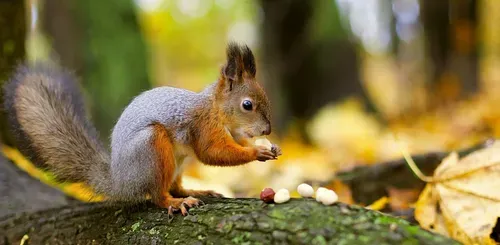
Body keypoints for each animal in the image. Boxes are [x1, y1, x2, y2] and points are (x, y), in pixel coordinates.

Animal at [2, 41, 282, 216]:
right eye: (247, 105)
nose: (267, 130)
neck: (218, 111)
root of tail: (119, 182)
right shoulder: (203, 126)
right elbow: (212, 153)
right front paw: (257, 152)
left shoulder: (234, 133)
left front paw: (269, 148)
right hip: (152, 149)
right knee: (158, 194)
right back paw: (176, 202)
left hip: (177, 162)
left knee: (174, 185)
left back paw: (195, 191)